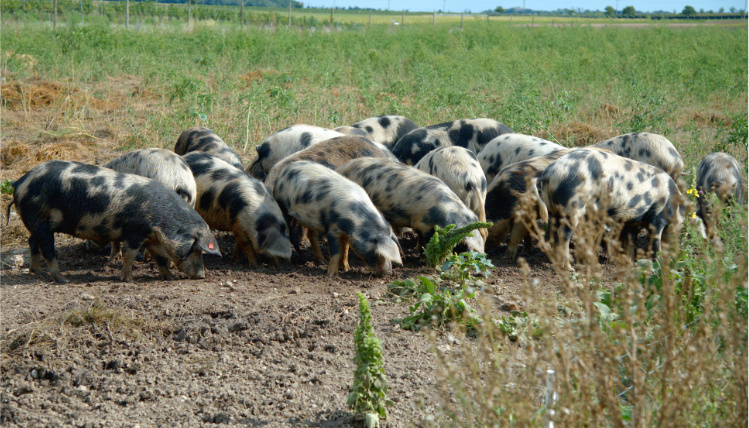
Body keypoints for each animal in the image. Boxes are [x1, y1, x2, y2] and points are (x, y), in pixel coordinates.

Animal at [6, 161, 222, 284]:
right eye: (196, 248)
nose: (202, 276)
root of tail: (20, 182)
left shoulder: (152, 238)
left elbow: (160, 259)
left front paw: (169, 278)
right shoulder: (135, 232)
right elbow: (130, 255)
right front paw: (129, 280)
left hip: (36, 223)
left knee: (32, 243)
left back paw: (37, 273)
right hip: (40, 220)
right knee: (48, 249)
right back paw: (62, 279)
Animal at [274, 160, 404, 278]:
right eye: (378, 253)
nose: (388, 273)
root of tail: (285, 170)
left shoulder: (347, 234)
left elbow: (345, 250)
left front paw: (346, 268)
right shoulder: (333, 229)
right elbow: (336, 252)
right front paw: (332, 275)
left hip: (311, 218)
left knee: (312, 235)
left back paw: (322, 261)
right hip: (282, 205)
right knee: (291, 232)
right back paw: (298, 257)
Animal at [536, 149, 684, 270]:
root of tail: (549, 172)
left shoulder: (632, 222)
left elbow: (630, 243)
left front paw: (630, 263)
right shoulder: (657, 218)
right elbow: (655, 243)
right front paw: (659, 263)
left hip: (553, 209)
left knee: (552, 232)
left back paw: (555, 261)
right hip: (573, 206)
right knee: (563, 234)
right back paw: (569, 268)